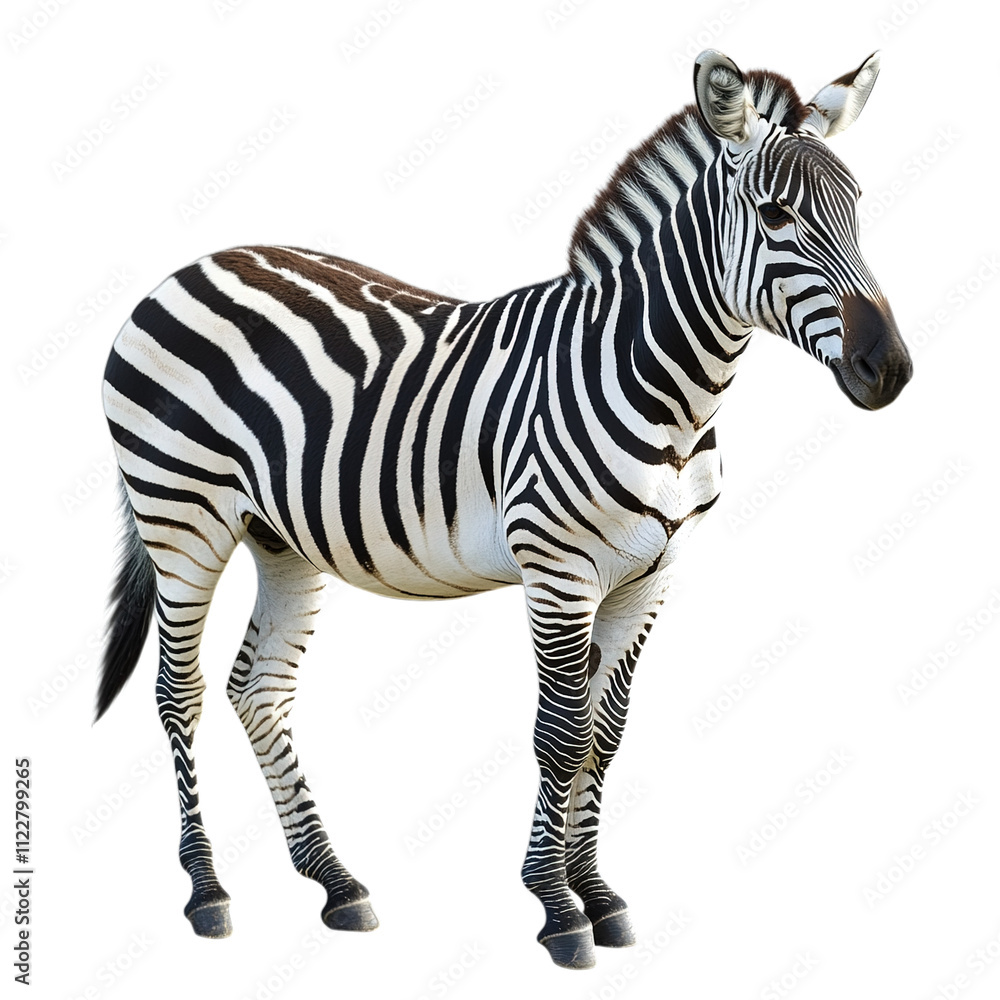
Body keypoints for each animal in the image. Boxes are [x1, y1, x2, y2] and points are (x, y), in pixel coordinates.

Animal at [97, 49, 911, 969]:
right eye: (777, 216)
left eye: (857, 208)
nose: (890, 369)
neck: (664, 389)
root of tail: (188, 269)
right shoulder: (557, 569)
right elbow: (560, 734)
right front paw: (557, 909)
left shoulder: (651, 576)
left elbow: (605, 734)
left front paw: (599, 896)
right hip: (182, 518)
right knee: (180, 691)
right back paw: (207, 892)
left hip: (281, 537)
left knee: (258, 689)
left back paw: (336, 883)